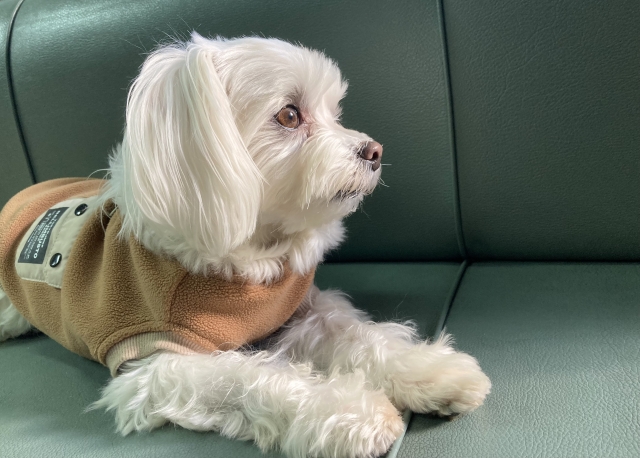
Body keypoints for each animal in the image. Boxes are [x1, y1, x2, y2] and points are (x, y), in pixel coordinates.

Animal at [0, 34, 490, 458]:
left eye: (335, 111)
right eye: (289, 115)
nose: (374, 151)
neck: (250, 261)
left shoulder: (303, 311)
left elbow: (361, 337)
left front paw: (432, 371)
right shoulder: (156, 363)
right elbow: (246, 379)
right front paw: (352, 413)